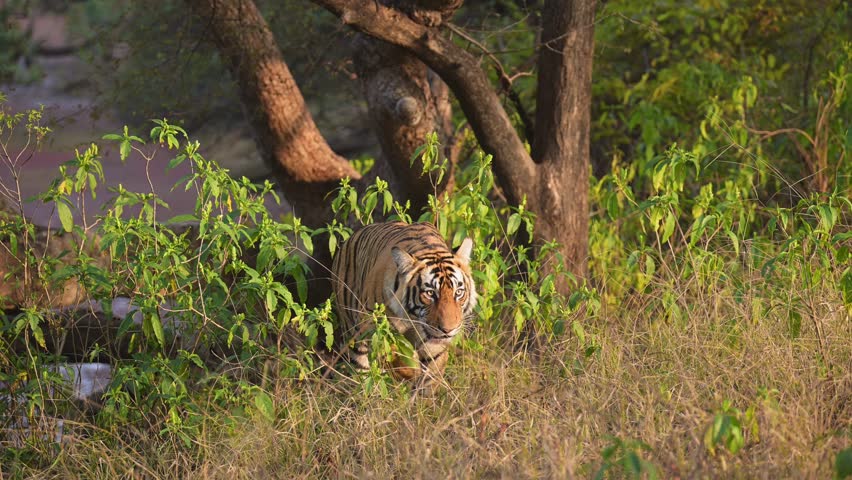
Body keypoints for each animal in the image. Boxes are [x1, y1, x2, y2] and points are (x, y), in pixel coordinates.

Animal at [331, 221, 477, 385]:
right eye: (430, 293)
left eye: (458, 292)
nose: (448, 330)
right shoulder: (373, 323)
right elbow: (392, 351)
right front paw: (409, 372)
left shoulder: (435, 345)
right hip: (353, 337)